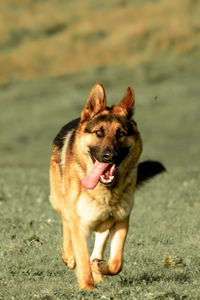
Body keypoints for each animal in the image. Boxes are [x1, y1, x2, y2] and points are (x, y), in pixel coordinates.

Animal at [49, 82, 163, 290]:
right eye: (99, 133)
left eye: (121, 134)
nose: (109, 156)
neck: (104, 192)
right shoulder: (80, 225)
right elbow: (83, 262)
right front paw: (87, 289)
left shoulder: (121, 221)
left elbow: (116, 263)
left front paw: (100, 267)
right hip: (62, 203)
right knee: (66, 224)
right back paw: (69, 256)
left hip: (103, 225)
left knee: (97, 249)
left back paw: (98, 270)